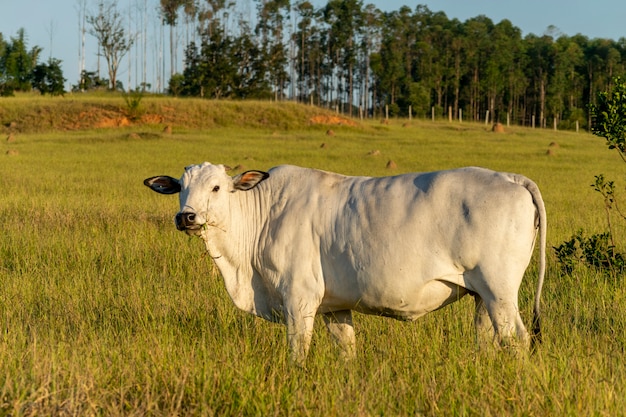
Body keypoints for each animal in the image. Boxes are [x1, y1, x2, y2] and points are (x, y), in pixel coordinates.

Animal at [144, 162, 544, 364]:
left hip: (500, 290)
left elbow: (297, 354)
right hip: (483, 297)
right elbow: (347, 351)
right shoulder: (334, 307)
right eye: (181, 187)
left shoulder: (300, 299)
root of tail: (511, 177)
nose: (187, 217)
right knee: (489, 340)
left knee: (518, 340)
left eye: (215, 188)